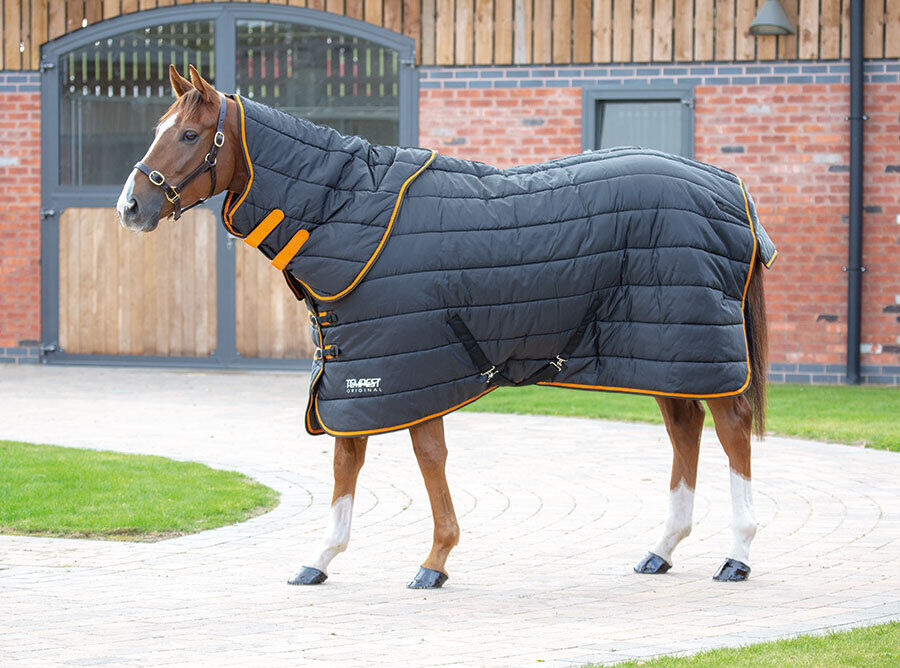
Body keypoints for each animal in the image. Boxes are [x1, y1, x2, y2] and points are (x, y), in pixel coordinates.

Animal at [117, 65, 771, 589]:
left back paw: (738, 554)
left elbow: (425, 456)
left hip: (700, 346)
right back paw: (662, 550)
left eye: (189, 134)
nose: (130, 207)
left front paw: (434, 560)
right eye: (156, 128)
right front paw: (320, 559)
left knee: (732, 428)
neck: (347, 211)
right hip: (664, 352)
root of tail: (727, 187)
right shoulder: (356, 368)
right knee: (685, 430)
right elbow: (347, 457)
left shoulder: (408, 366)